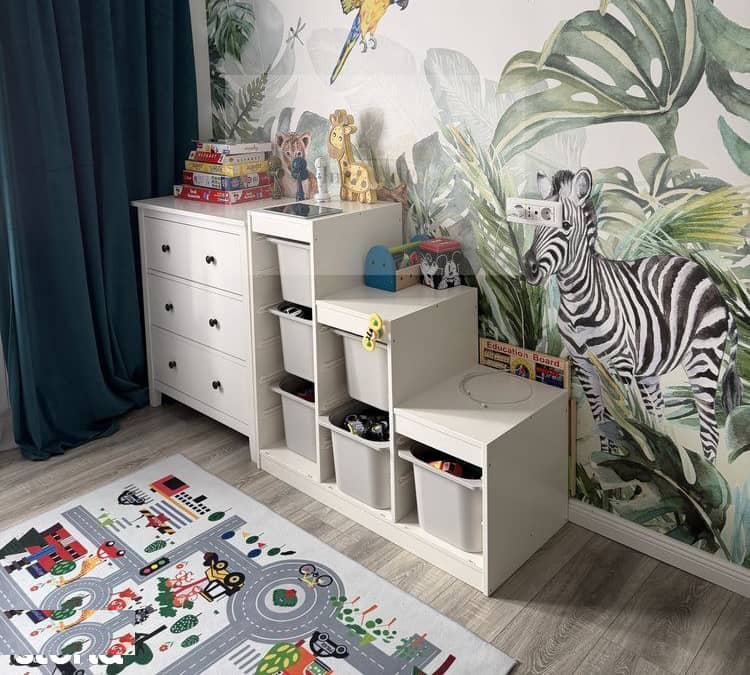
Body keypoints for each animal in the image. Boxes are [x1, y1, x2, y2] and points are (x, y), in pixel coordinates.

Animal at [522, 168, 743, 463]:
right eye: (536, 223)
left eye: (565, 226)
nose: (528, 268)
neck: (577, 300)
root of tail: (709, 279)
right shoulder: (583, 365)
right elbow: (603, 421)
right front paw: (609, 461)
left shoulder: (620, 366)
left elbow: (625, 424)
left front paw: (623, 462)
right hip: (651, 369)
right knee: (658, 423)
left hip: (703, 358)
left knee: (709, 430)